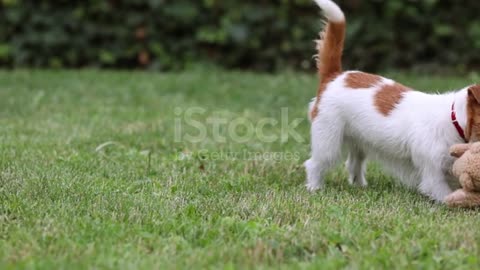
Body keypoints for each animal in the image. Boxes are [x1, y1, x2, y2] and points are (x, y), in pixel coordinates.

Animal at [306, 0, 480, 202]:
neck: (454, 120)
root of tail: (334, 76)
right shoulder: (433, 173)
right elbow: (444, 194)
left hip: (359, 140)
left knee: (354, 164)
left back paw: (360, 186)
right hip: (328, 139)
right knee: (315, 163)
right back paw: (314, 188)